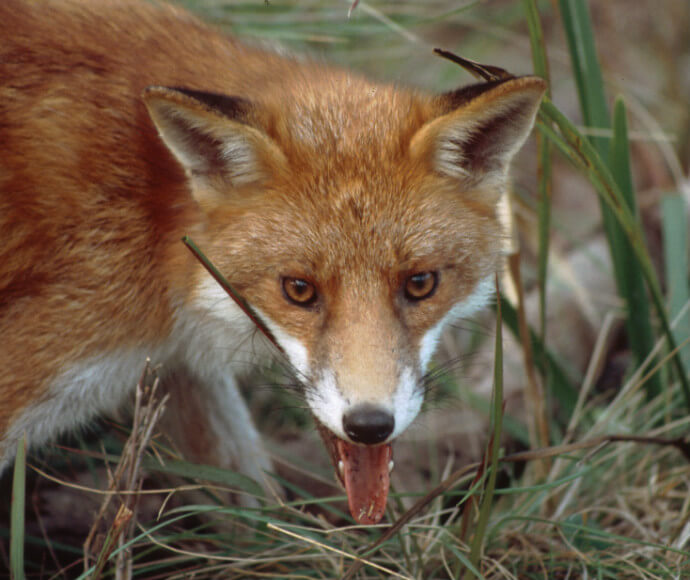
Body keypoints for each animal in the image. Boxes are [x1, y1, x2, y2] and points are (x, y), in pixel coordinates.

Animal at [0, 0, 544, 524]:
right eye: (298, 289)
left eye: (420, 284)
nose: (369, 425)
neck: (151, 225)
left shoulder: (177, 369)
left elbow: (250, 505)